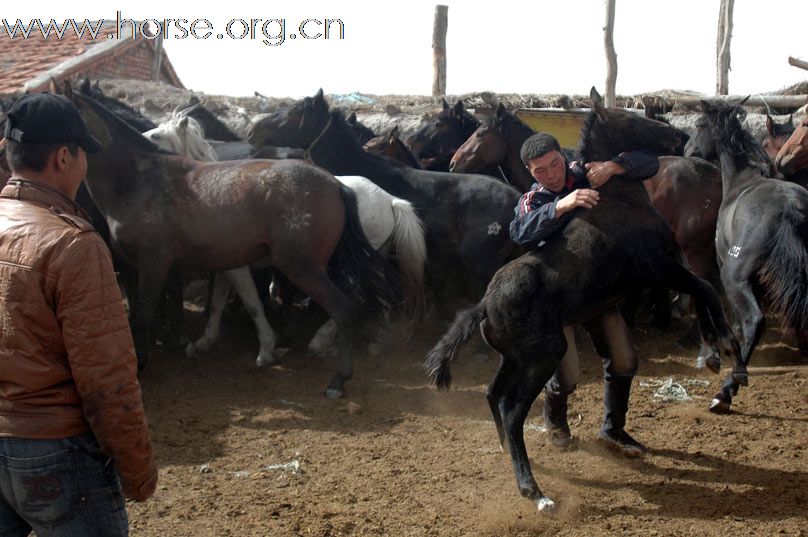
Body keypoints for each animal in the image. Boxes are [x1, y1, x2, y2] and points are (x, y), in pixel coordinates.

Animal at [142, 113, 426, 362]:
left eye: (156, 135)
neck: (215, 192)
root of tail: (390, 200)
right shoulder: (226, 265)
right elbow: (217, 302)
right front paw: (204, 341)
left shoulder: (238, 267)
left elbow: (252, 302)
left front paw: (266, 348)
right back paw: (374, 341)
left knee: (355, 299)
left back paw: (322, 341)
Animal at [422, 87, 744, 510]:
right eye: (630, 117)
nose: (679, 137)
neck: (616, 200)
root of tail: (482, 307)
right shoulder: (658, 267)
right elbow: (705, 291)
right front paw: (725, 350)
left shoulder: (669, 263)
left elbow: (700, 292)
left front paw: (714, 354)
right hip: (544, 356)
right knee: (511, 409)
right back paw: (534, 491)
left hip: (515, 358)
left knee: (493, 394)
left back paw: (512, 456)